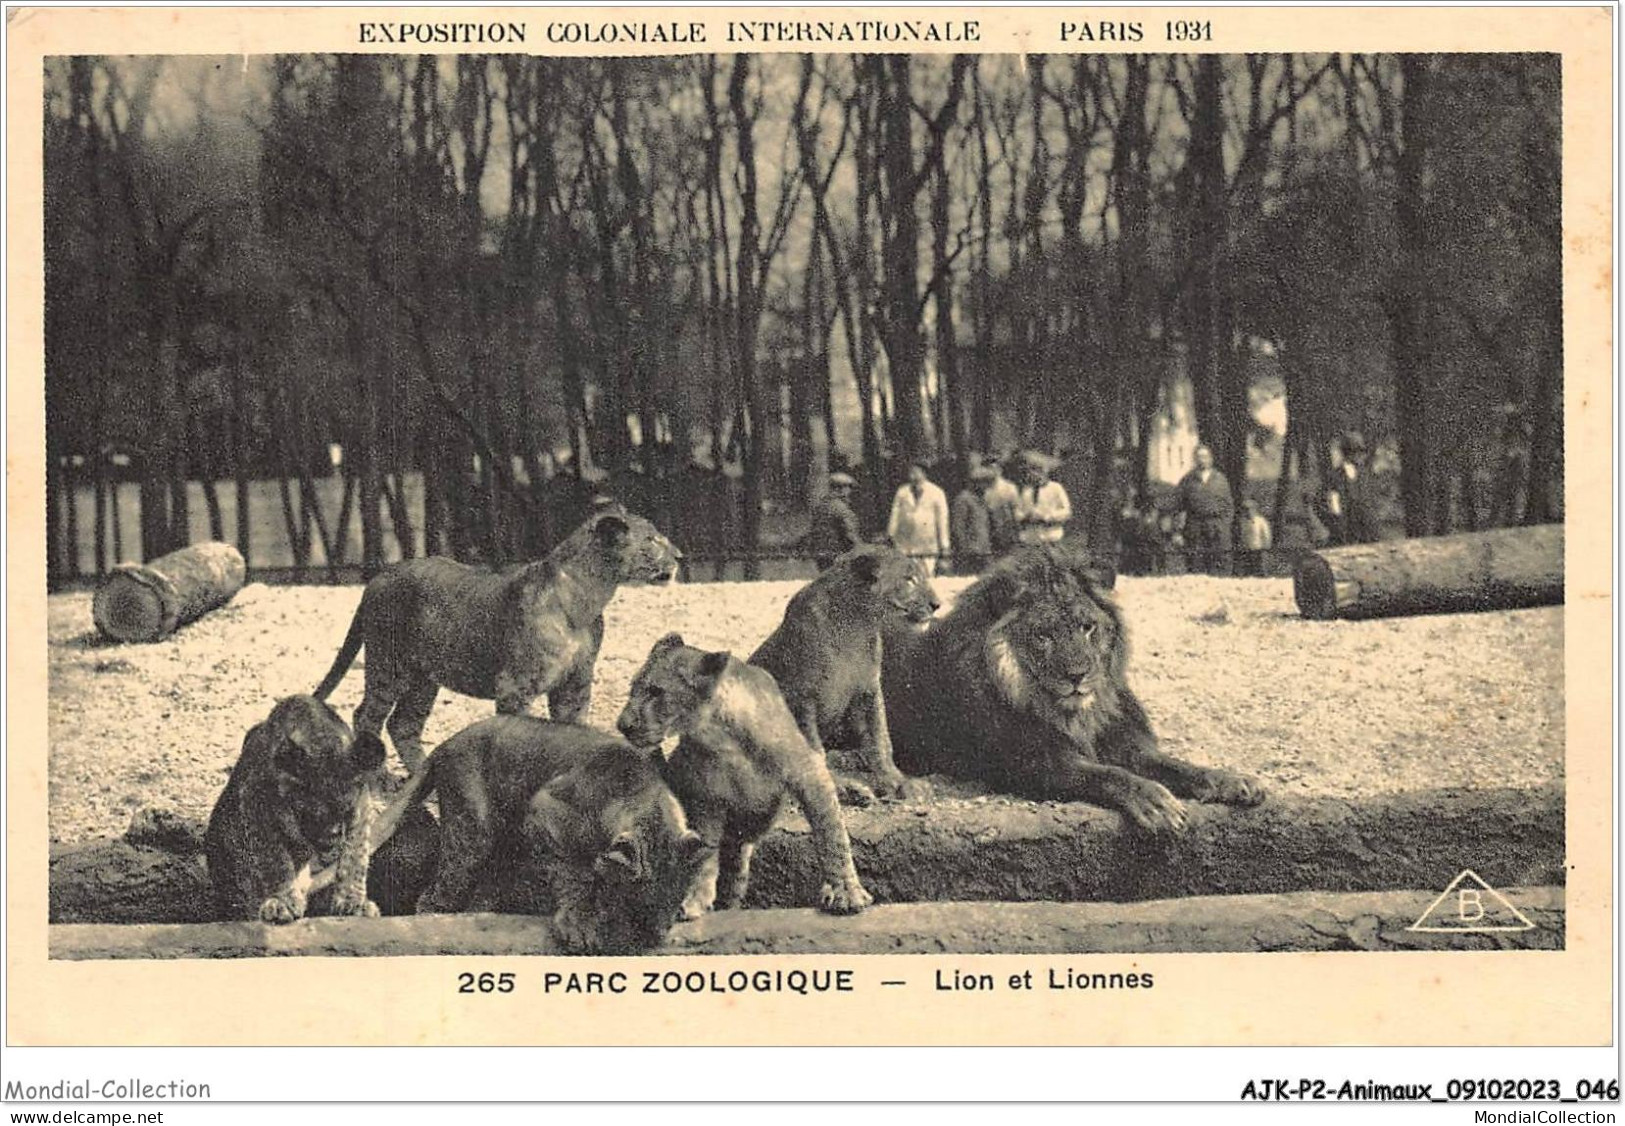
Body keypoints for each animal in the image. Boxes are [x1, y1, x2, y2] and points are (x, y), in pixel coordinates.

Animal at [884, 539, 1261, 828]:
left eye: (1087, 627)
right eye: (1043, 636)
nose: (1077, 675)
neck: (1078, 715)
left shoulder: (1126, 744)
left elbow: (1177, 766)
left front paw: (1234, 780)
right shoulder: (1031, 762)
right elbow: (1107, 775)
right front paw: (1156, 802)